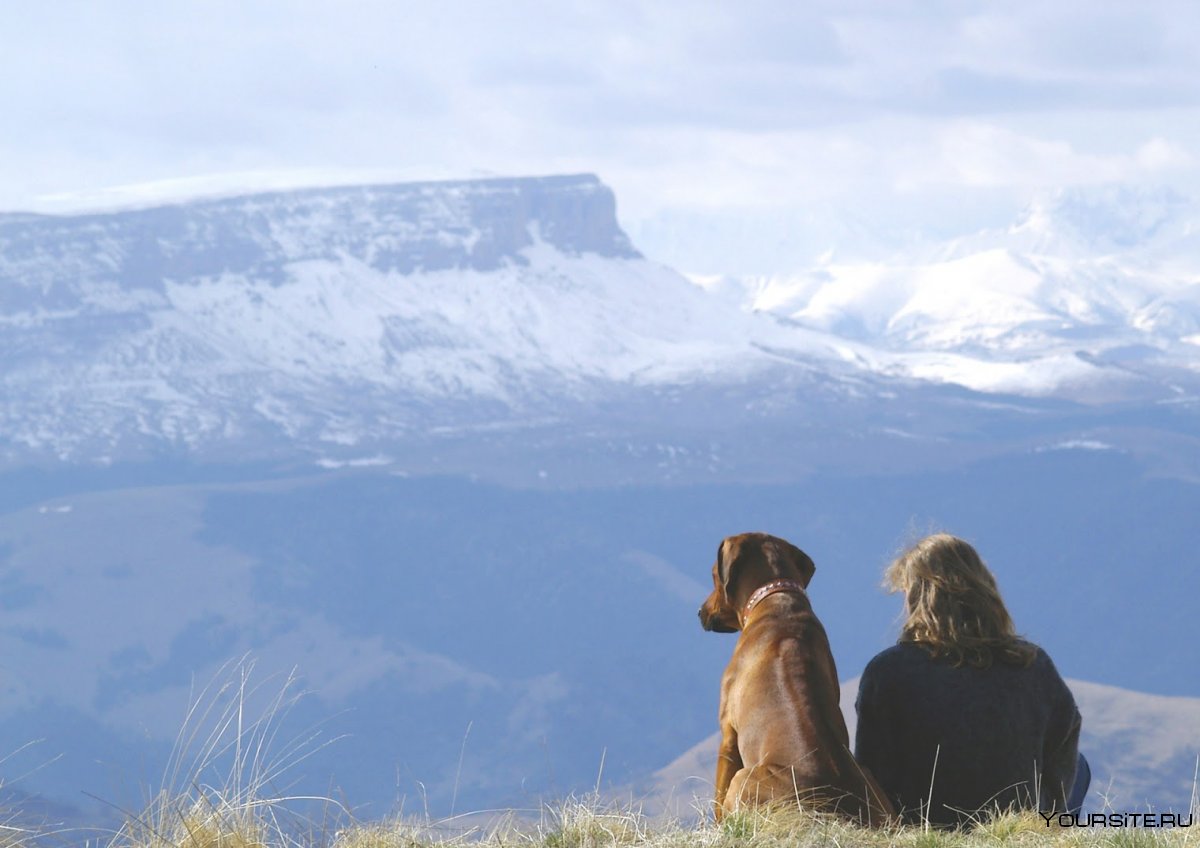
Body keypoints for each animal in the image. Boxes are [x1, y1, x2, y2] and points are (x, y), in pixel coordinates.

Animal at [696, 534, 892, 825]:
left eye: (712, 575)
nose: (700, 612)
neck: (775, 599)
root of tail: (836, 805)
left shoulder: (728, 733)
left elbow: (718, 800)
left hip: (745, 777)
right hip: (868, 776)